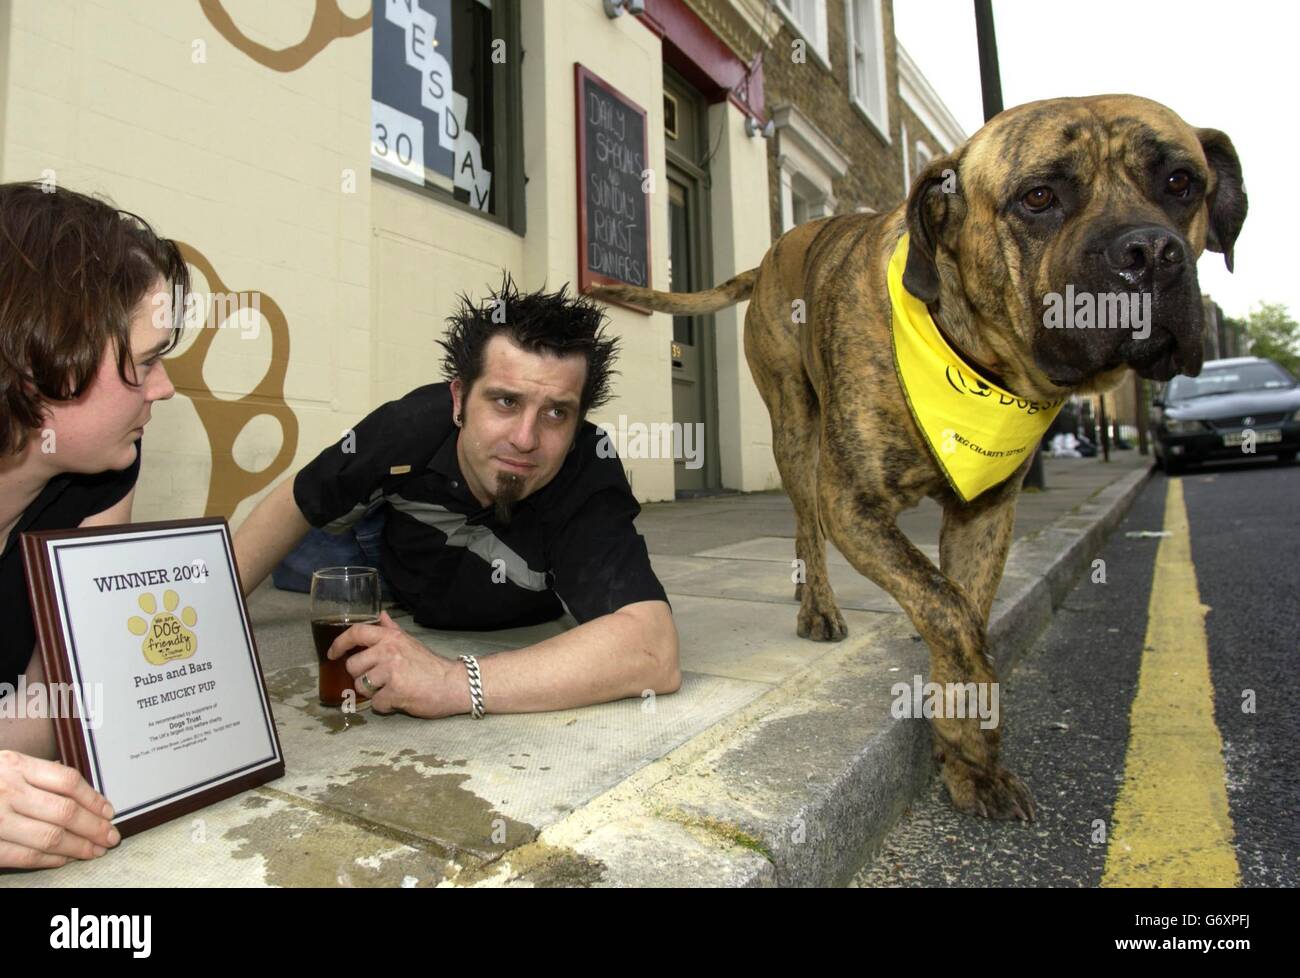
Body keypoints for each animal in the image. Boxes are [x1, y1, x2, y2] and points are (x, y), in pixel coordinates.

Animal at [590, 97, 1248, 816]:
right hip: (794, 424)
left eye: (1181, 182)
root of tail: (769, 257)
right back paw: (819, 608)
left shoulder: (986, 516)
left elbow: (961, 605)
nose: (1150, 251)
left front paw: (967, 752)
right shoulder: (852, 505)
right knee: (806, 524)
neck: (973, 361)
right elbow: (951, 613)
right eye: (1038, 197)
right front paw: (973, 736)